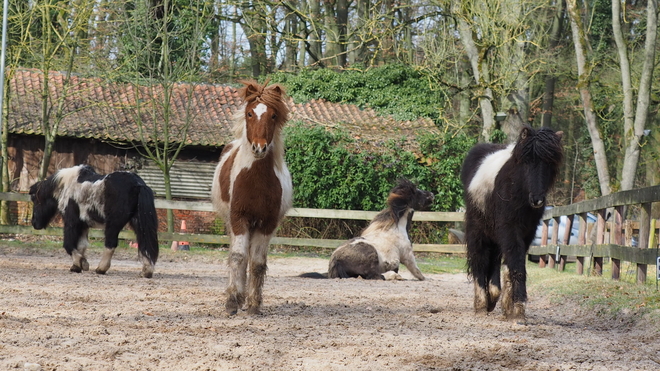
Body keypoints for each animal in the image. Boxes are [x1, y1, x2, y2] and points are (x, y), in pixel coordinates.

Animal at [30, 166, 160, 280]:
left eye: (35, 200)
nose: (34, 223)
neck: (66, 186)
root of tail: (138, 184)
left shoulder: (72, 222)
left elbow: (69, 245)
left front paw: (80, 263)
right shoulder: (83, 224)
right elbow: (81, 245)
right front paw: (78, 265)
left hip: (113, 224)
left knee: (111, 244)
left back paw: (101, 269)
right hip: (138, 222)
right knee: (145, 244)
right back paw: (146, 271)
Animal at [213, 80, 292, 316]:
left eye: (273, 115)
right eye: (249, 113)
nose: (259, 147)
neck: (255, 181)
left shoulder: (267, 223)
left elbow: (257, 263)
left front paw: (254, 304)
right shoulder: (239, 219)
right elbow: (238, 257)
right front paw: (232, 302)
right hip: (232, 223)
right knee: (237, 254)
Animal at [300, 180, 434, 282]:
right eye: (417, 192)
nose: (432, 194)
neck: (396, 228)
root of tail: (335, 260)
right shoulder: (407, 255)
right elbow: (416, 270)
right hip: (371, 255)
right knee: (374, 276)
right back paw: (394, 276)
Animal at [458, 126, 564, 322]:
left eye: (550, 163)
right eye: (527, 161)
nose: (537, 199)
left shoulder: (526, 233)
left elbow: (510, 265)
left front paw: (509, 307)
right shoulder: (509, 229)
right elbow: (517, 265)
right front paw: (519, 310)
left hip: (494, 233)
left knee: (494, 260)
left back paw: (493, 298)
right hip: (478, 229)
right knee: (479, 260)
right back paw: (481, 304)